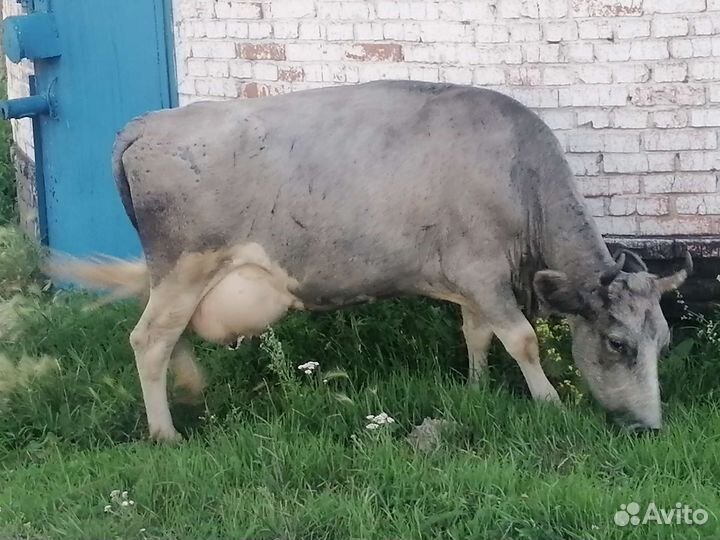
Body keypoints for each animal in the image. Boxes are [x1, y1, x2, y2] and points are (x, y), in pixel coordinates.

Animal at [49, 81, 692, 441]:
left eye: (662, 343)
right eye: (617, 344)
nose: (651, 429)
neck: (516, 171)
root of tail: (147, 122)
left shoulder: (470, 278)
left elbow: (477, 335)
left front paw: (477, 389)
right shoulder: (484, 274)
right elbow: (522, 339)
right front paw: (550, 403)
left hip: (179, 277)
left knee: (168, 336)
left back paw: (190, 392)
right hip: (185, 266)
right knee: (149, 339)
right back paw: (164, 434)